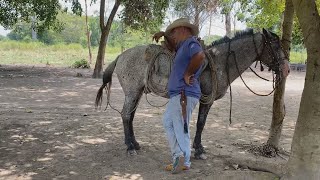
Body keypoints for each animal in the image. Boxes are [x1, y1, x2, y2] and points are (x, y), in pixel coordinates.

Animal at [95, 28, 288, 159]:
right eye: (275, 45)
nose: (286, 69)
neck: (219, 62)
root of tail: (120, 57)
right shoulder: (207, 100)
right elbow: (201, 123)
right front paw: (199, 150)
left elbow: (199, 123)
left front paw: (196, 148)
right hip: (132, 91)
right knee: (126, 115)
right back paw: (130, 147)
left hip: (138, 92)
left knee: (130, 116)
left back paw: (134, 143)